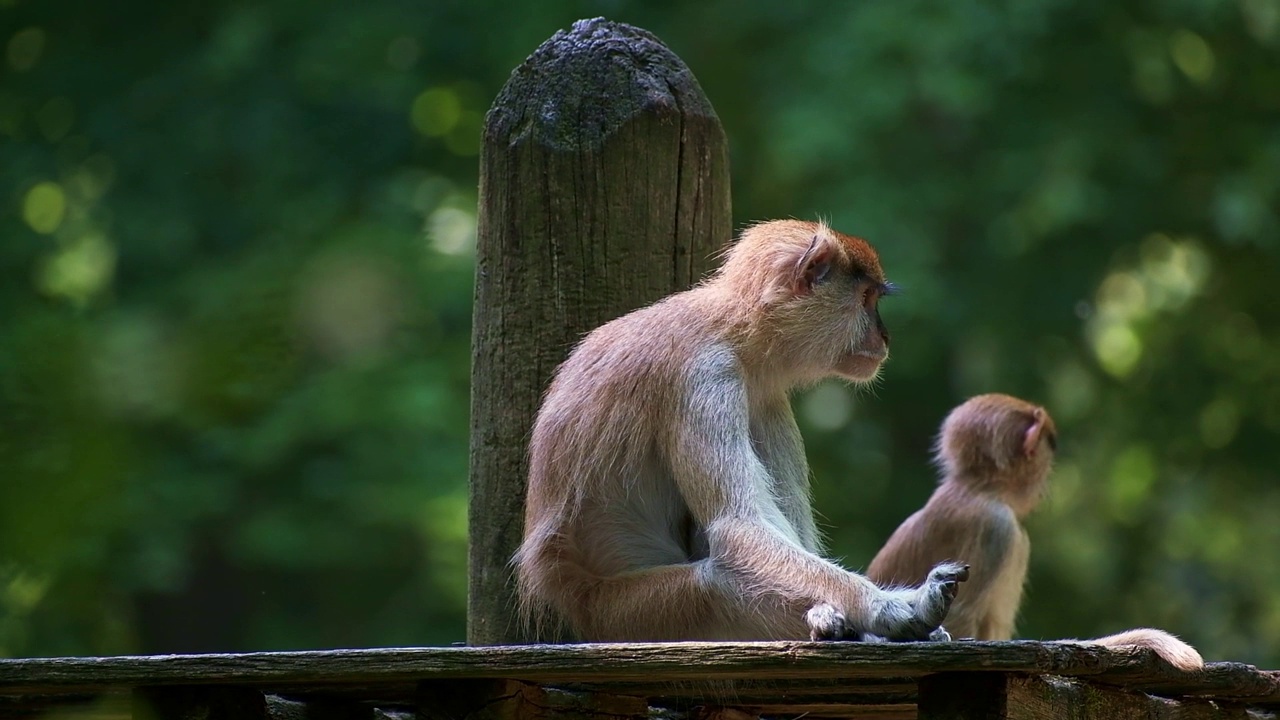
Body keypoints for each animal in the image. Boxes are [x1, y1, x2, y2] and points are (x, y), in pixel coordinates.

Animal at [514, 217, 962, 638]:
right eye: (866, 299)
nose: (884, 338)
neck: (737, 328)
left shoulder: (765, 397)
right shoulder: (705, 375)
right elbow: (738, 528)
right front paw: (889, 608)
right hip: (622, 612)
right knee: (717, 582)